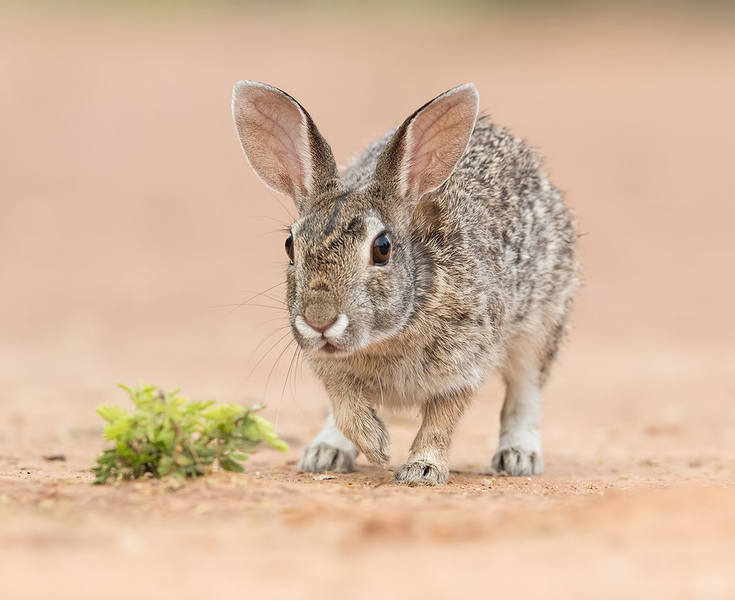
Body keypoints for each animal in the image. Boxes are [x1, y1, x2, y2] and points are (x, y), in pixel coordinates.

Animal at [233, 81, 576, 482]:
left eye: (382, 248)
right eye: (289, 245)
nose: (319, 321)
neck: (387, 335)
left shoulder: (465, 360)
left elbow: (441, 419)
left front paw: (422, 470)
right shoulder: (328, 365)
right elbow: (343, 403)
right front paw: (375, 444)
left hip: (542, 322)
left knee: (525, 389)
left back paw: (519, 456)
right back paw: (326, 452)